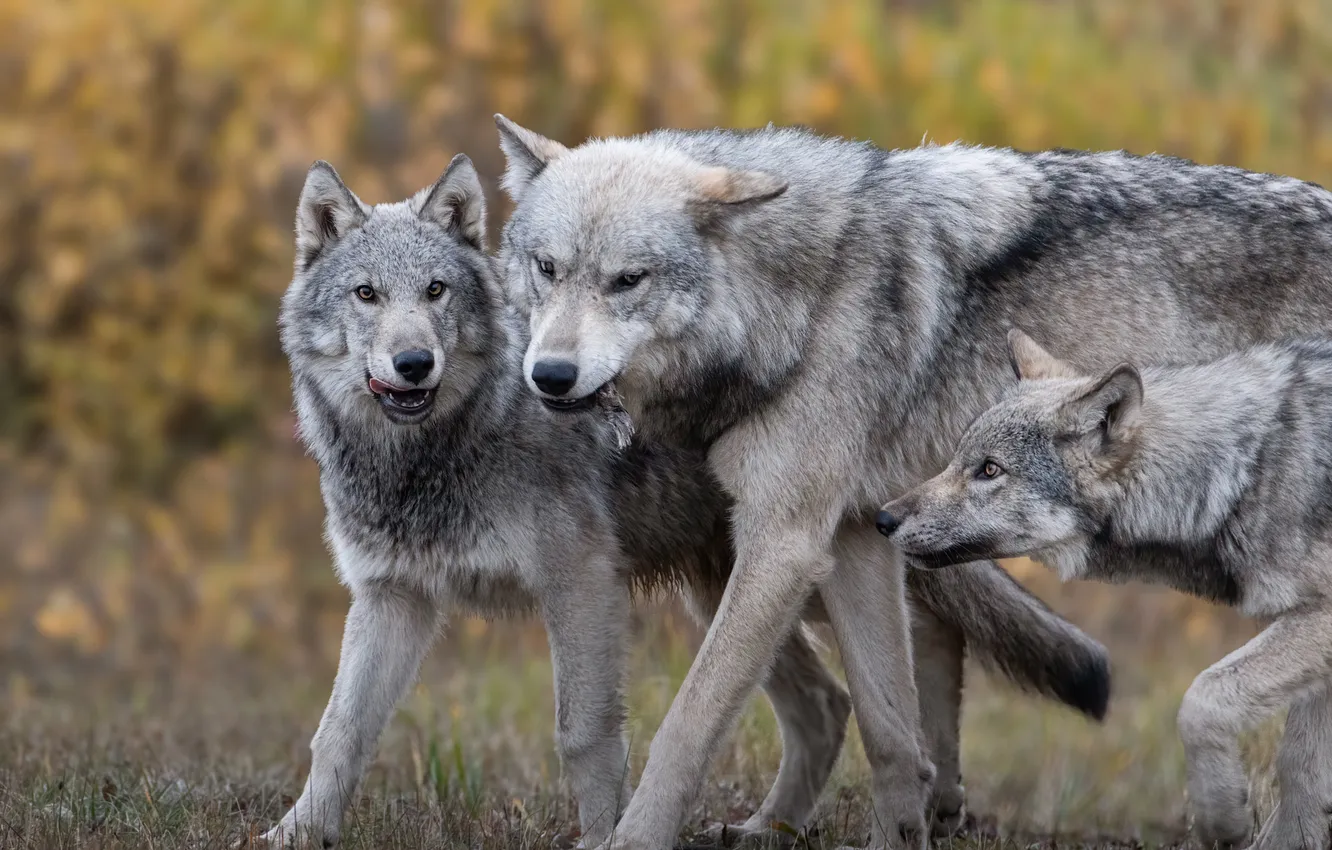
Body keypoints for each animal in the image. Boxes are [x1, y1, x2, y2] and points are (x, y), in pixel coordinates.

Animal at [253, 157, 1110, 848]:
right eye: (367, 295)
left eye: (434, 291)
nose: (413, 362)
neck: (433, 455)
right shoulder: (391, 596)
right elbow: (338, 733)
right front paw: (294, 834)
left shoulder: (581, 585)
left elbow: (584, 735)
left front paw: (603, 836)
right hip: (728, 588)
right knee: (830, 702)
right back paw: (780, 827)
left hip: (794, 571)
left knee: (928, 643)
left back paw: (932, 803)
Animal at [880, 329, 1332, 850]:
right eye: (957, 460)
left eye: (990, 470)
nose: (883, 518)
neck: (1247, 468)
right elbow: (1300, 766)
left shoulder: (1317, 620)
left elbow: (1202, 702)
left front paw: (1224, 818)